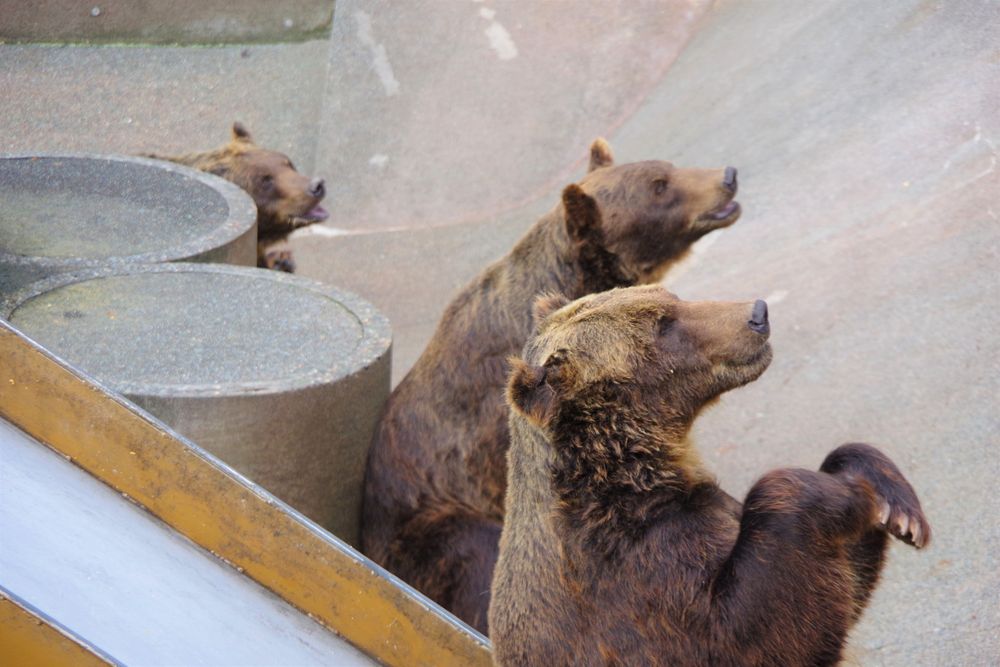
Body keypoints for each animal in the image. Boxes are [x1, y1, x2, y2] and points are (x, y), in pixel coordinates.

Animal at [490, 284, 930, 666]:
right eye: (663, 325)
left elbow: (843, 582)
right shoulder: (641, 575)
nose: (758, 312)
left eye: (672, 296)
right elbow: (759, 633)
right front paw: (849, 497)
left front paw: (897, 509)